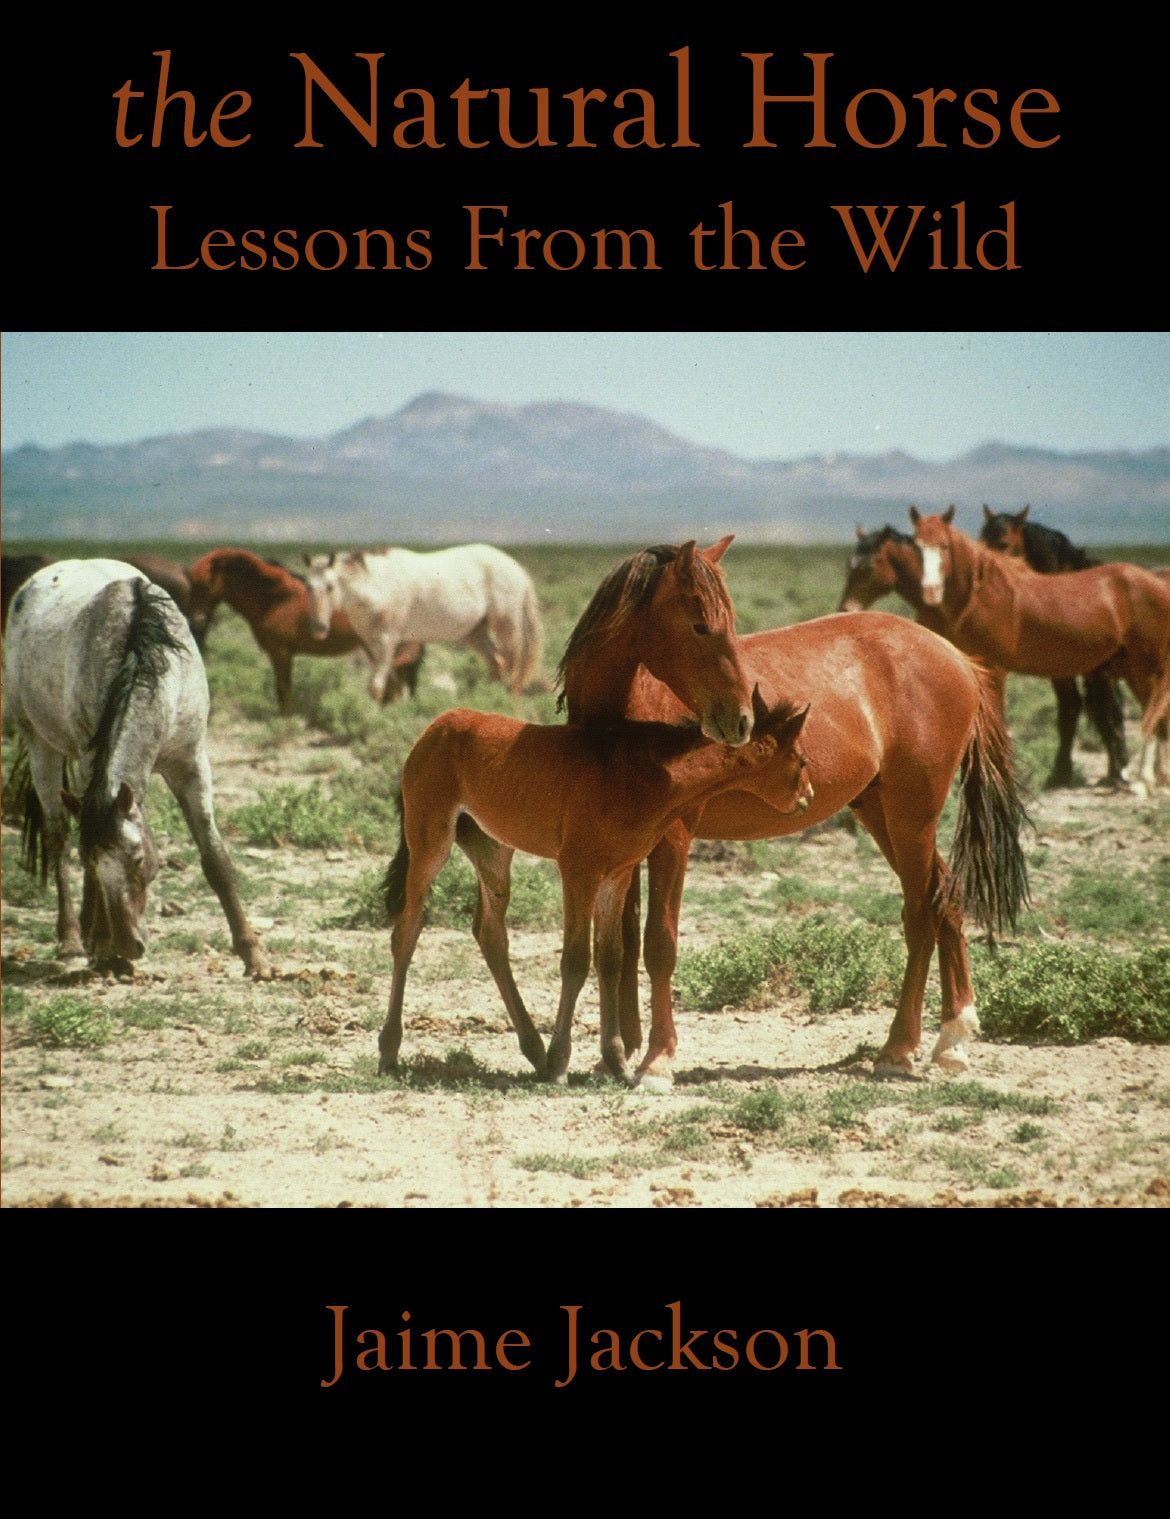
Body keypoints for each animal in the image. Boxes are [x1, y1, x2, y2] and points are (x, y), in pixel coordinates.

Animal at [5, 565, 268, 978]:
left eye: (139, 859)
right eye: (92, 863)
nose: (128, 944)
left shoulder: (191, 764)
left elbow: (216, 860)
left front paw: (253, 956)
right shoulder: (89, 764)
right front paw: (102, 946)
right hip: (40, 746)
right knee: (57, 838)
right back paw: (72, 940)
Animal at [189, 549, 425, 713]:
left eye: (205, 586)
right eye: (193, 584)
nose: (197, 619)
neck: (276, 601)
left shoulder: (281, 653)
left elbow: (283, 691)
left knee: (395, 690)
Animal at [297, 543, 540, 701]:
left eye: (330, 586)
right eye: (308, 586)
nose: (319, 628)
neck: (377, 584)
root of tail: (516, 568)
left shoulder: (387, 641)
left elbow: (377, 686)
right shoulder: (372, 644)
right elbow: (389, 683)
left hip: (506, 626)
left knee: (513, 666)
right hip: (475, 633)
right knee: (497, 663)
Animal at [378, 695, 808, 1087]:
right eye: (802, 760)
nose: (808, 796)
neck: (644, 775)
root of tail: (437, 726)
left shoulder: (616, 875)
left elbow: (611, 958)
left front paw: (617, 1064)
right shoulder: (578, 871)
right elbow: (575, 960)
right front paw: (561, 1065)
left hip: (492, 848)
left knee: (489, 932)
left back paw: (534, 1050)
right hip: (430, 840)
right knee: (407, 929)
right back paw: (389, 1051)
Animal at [911, 510, 1166, 795]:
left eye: (944, 546)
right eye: (916, 545)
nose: (930, 591)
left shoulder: (996, 668)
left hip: (1144, 666)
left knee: (1152, 714)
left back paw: (1143, 780)